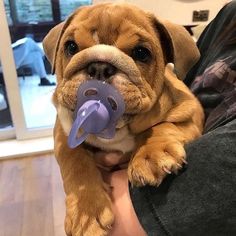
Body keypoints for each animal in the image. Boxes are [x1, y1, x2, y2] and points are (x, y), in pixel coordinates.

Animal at [42, 2, 205, 236]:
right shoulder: (64, 132)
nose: (99, 67)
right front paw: (86, 211)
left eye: (141, 53)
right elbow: (75, 161)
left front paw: (152, 153)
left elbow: (164, 126)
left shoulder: (190, 110)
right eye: (71, 47)